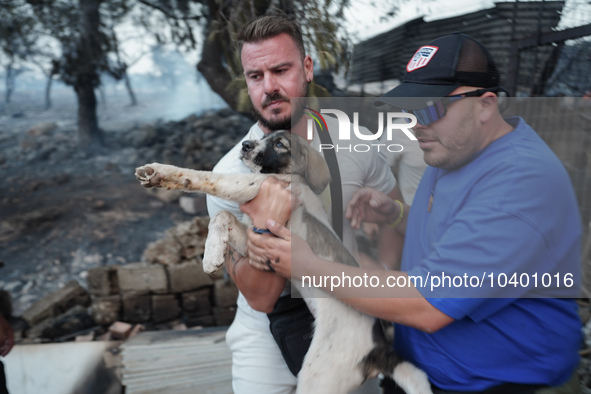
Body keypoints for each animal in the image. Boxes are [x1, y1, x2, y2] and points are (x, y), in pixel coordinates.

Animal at [136, 131, 432, 392]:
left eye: (280, 144)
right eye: (263, 138)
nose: (245, 145)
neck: (287, 177)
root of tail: (378, 349)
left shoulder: (248, 186)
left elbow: (201, 177)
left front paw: (159, 172)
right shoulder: (253, 236)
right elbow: (222, 216)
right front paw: (214, 254)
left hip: (317, 376)